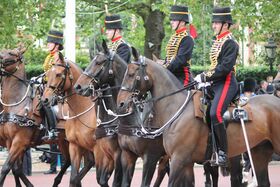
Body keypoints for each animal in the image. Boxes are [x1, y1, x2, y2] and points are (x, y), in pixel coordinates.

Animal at [0, 47, 71, 187]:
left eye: (12, 53)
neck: (16, 104)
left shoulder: (19, 142)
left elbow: (6, 168)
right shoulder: (10, 142)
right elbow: (16, 168)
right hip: (62, 141)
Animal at [39, 56, 120, 186]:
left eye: (58, 74)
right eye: (48, 74)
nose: (45, 99)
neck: (81, 112)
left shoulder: (100, 151)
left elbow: (101, 178)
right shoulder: (75, 146)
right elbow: (73, 178)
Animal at [74, 41, 166, 187]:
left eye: (99, 62)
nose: (78, 87)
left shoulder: (122, 154)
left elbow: (116, 181)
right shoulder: (110, 154)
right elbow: (103, 179)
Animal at [117, 48, 278, 187]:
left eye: (131, 74)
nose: (121, 103)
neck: (176, 109)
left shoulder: (175, 159)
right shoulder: (186, 163)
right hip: (259, 152)